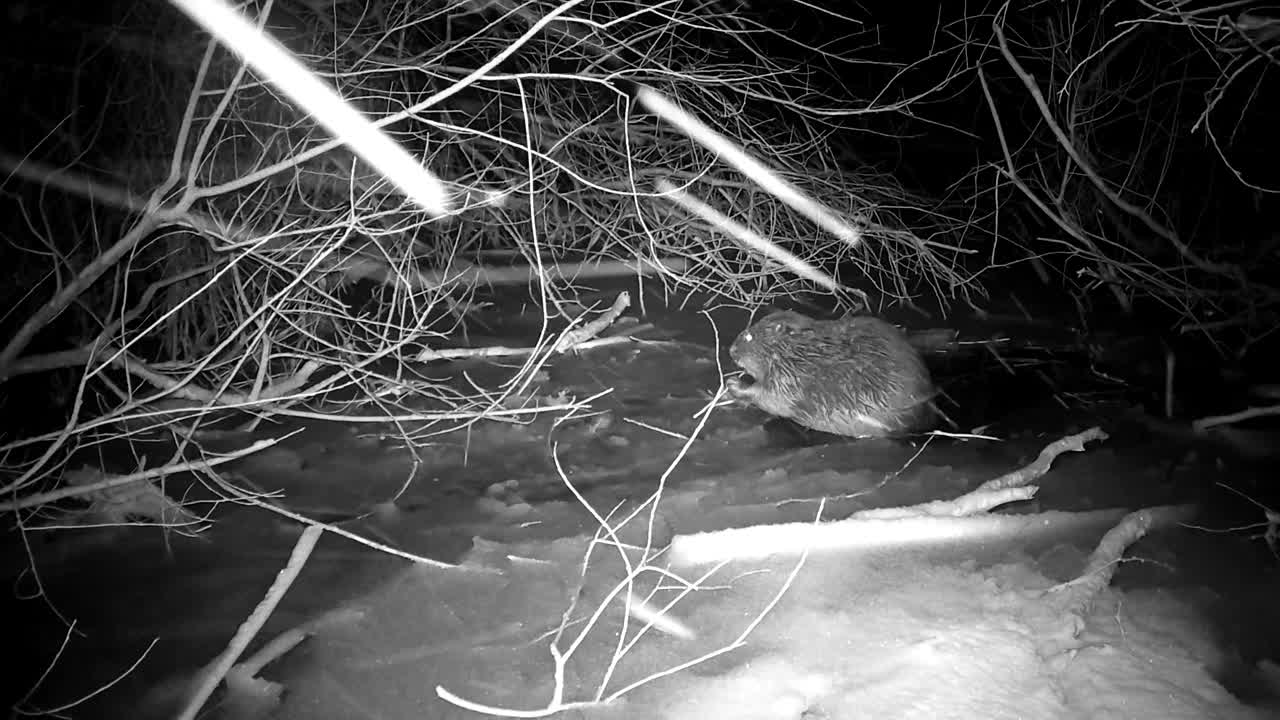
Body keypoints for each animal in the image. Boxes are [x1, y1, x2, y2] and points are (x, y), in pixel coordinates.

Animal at [732, 304, 931, 435]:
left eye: (748, 337)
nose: (731, 351)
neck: (801, 351)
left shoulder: (791, 378)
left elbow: (773, 398)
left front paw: (734, 384)